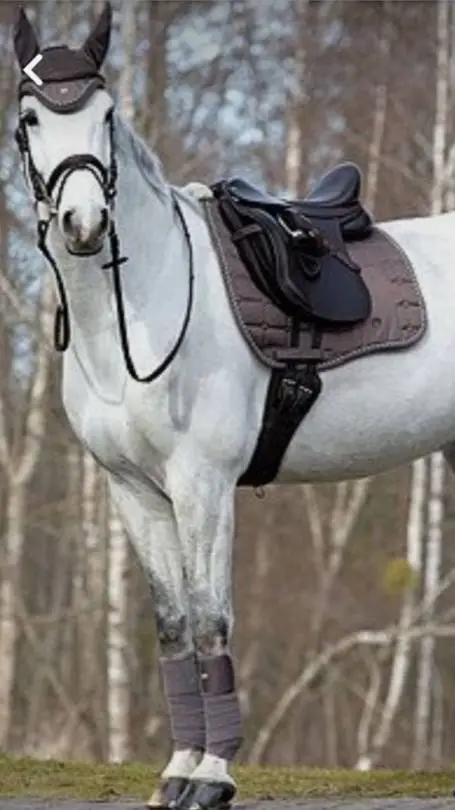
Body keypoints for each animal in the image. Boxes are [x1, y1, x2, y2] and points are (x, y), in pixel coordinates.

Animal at [12, 3, 455, 808]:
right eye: (30, 117)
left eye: (107, 113)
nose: (83, 224)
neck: (143, 303)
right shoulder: (134, 492)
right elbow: (172, 628)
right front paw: (179, 769)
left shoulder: (204, 484)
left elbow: (212, 622)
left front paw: (212, 777)